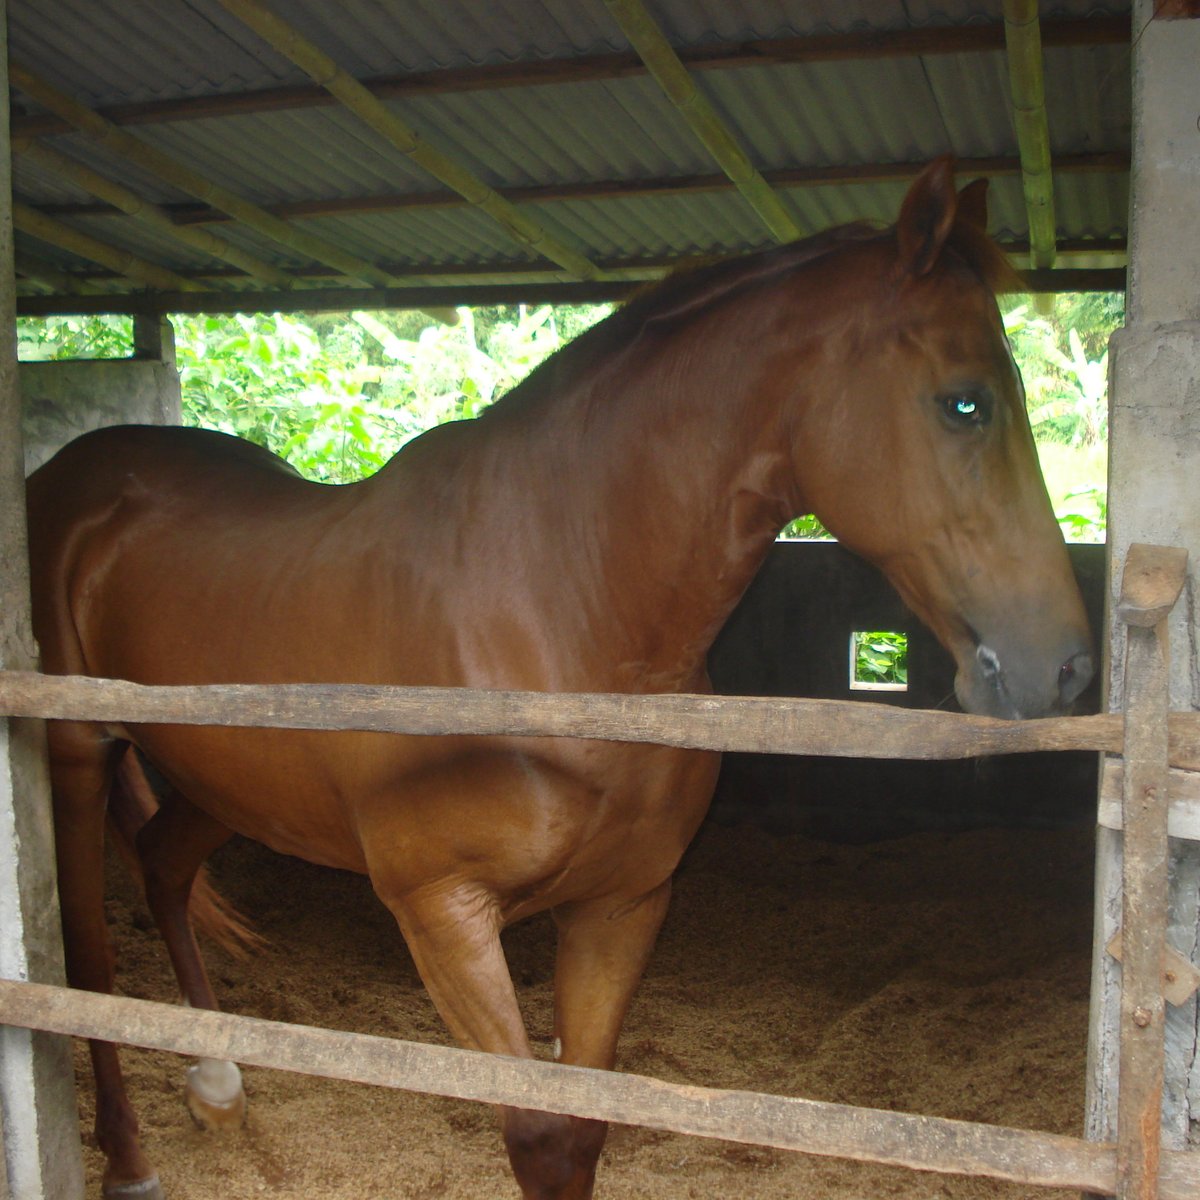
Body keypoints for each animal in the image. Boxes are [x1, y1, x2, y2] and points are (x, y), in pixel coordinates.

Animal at [28, 162, 1094, 1200]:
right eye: (965, 401)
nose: (1068, 666)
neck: (557, 618)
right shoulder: (444, 914)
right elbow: (540, 1140)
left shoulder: (621, 905)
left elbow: (582, 1135)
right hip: (78, 758)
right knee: (83, 955)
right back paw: (127, 1157)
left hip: (229, 782)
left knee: (162, 864)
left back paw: (215, 1078)